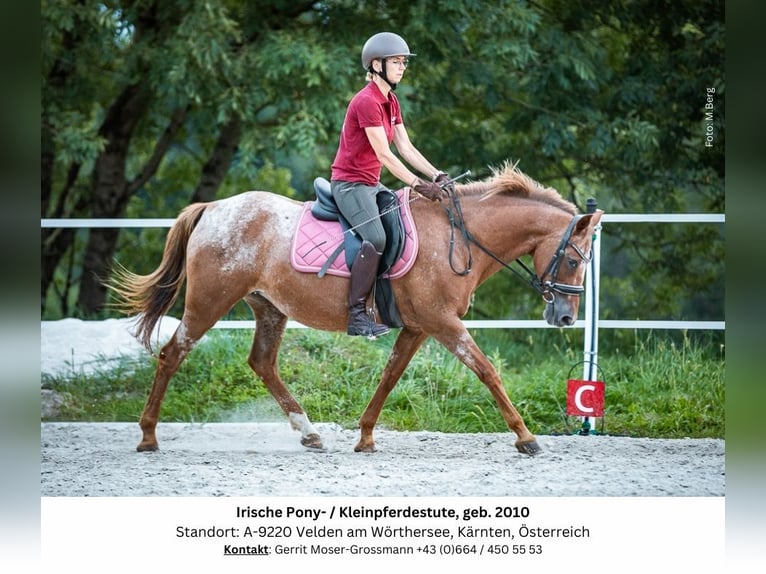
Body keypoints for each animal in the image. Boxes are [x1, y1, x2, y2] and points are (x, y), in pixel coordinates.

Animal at [109, 163, 600, 460]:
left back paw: (309, 432)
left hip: (269, 308)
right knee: (172, 355)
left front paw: (364, 436)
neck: (458, 236)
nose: (565, 318)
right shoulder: (443, 323)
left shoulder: (420, 327)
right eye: (575, 260)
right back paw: (148, 436)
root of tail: (213, 208)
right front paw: (526, 437)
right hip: (209, 302)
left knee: (262, 363)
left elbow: (390, 375)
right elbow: (486, 371)